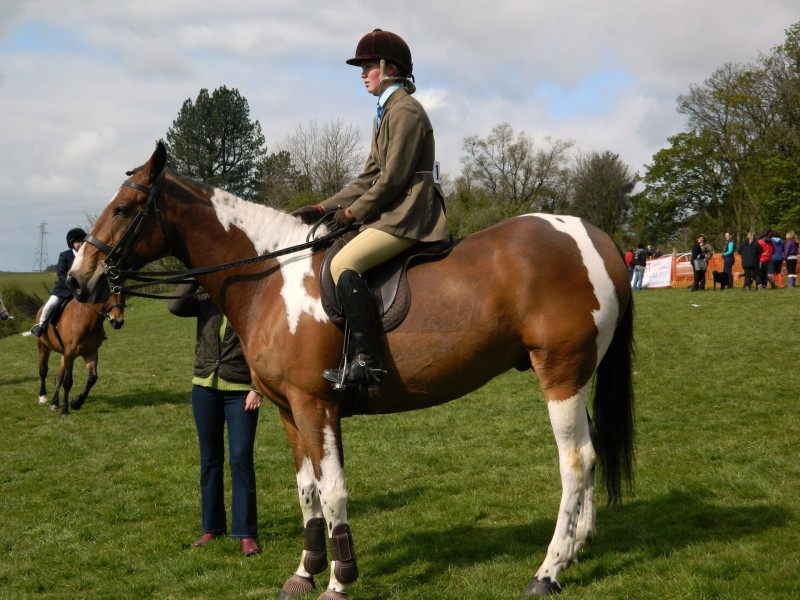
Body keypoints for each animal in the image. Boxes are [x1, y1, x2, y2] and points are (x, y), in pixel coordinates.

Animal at [69, 143, 636, 596]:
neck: (270, 275)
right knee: (588, 454)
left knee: (576, 462)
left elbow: (334, 489)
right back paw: (578, 549)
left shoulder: (316, 405)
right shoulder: (289, 411)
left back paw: (548, 572)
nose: (78, 280)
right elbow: (307, 491)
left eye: (124, 209)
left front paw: (340, 581)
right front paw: (305, 571)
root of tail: (596, 238)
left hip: (559, 372)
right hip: (576, 374)